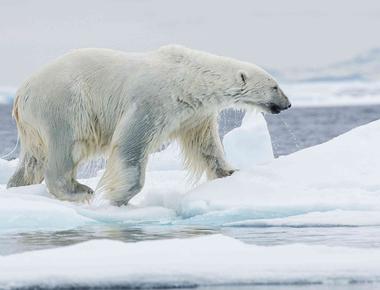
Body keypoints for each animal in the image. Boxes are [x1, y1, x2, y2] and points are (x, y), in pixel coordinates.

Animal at [6, 45, 290, 205]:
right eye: (275, 86)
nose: (287, 104)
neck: (189, 78)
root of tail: (21, 93)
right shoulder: (154, 100)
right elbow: (131, 144)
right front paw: (117, 196)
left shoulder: (194, 115)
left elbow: (206, 146)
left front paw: (230, 172)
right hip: (64, 103)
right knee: (66, 148)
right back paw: (80, 190)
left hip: (34, 125)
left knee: (33, 160)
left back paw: (17, 186)